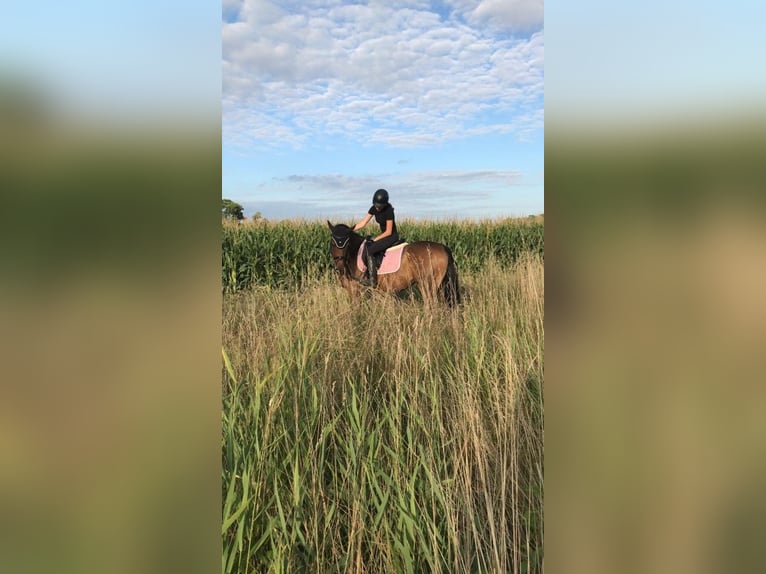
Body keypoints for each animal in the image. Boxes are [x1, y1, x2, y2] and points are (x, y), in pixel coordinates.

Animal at [326, 223, 462, 308]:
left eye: (347, 243)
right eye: (332, 242)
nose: (341, 268)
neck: (354, 254)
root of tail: (443, 247)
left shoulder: (356, 289)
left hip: (427, 284)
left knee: (431, 304)